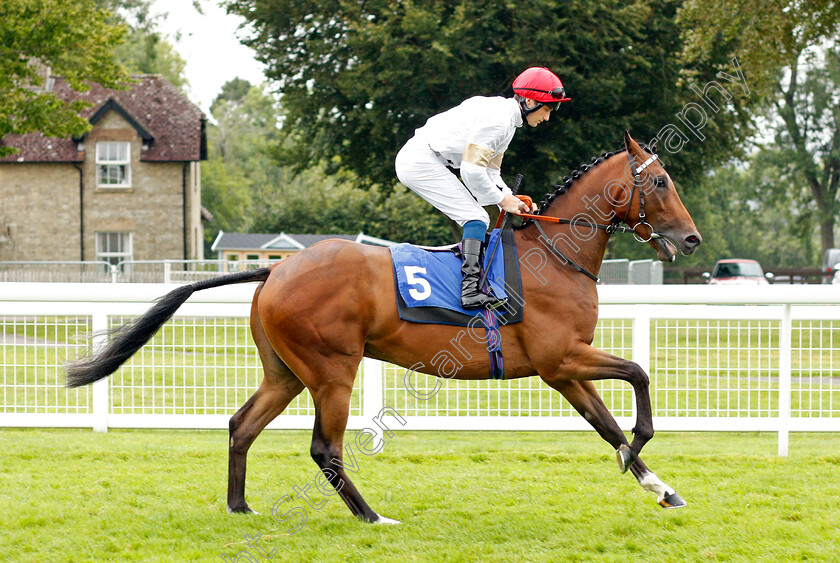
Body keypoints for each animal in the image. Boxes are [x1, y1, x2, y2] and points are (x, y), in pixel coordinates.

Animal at [67, 131, 704, 524]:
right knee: (324, 448)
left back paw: (239, 507)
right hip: (332, 371)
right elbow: (638, 376)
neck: (555, 254)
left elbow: (607, 425)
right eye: (661, 182)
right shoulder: (560, 359)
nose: (693, 238)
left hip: (285, 373)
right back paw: (372, 516)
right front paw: (644, 448)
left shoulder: (564, 369)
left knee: (241, 425)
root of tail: (275, 271)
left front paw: (661, 488)